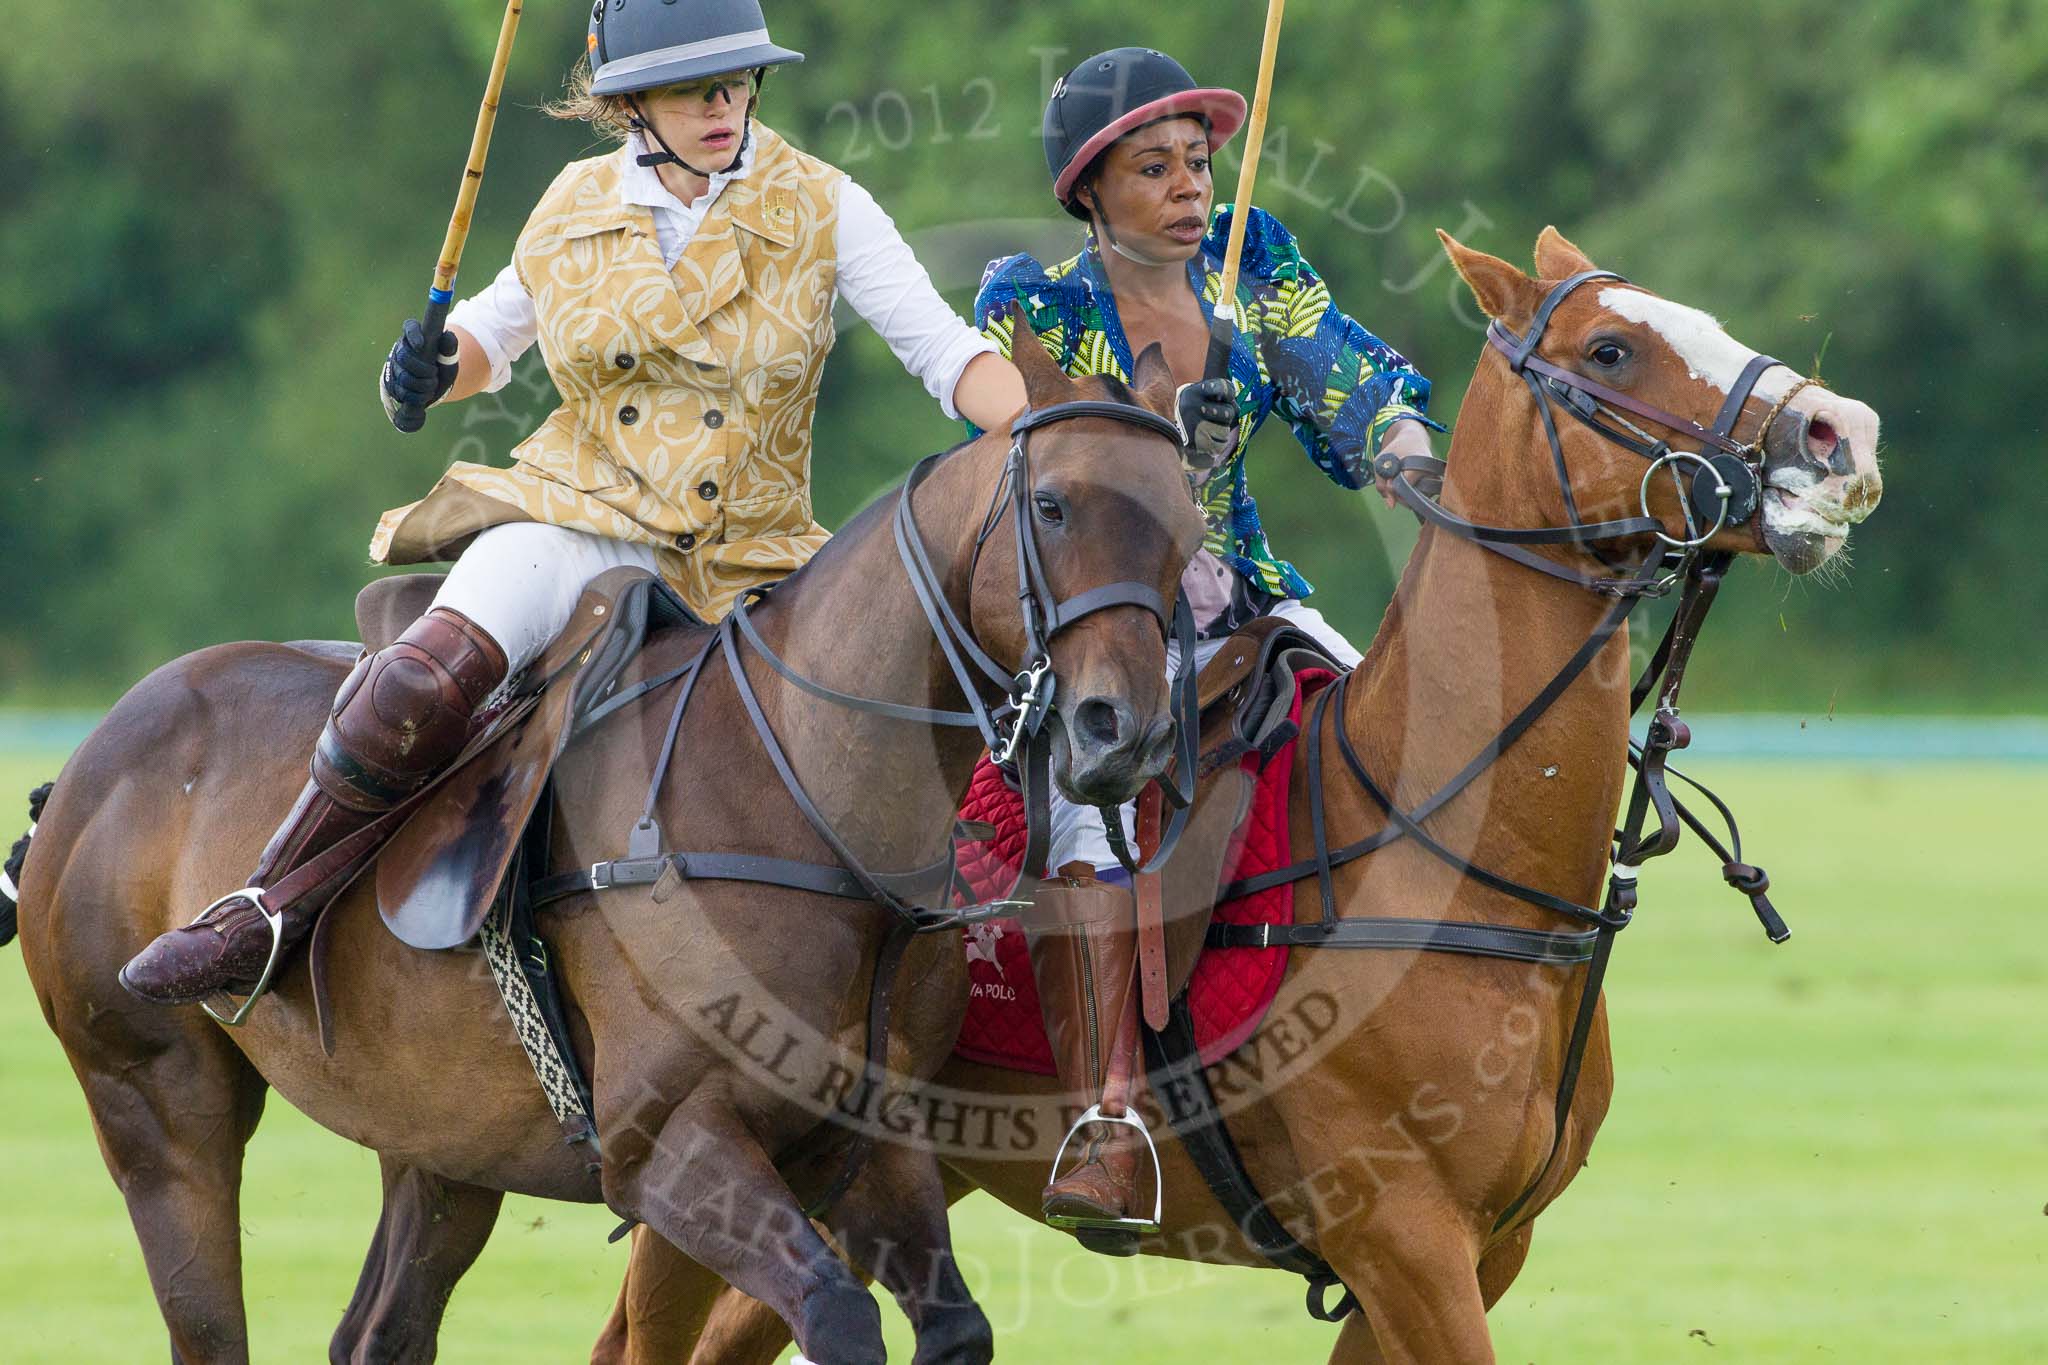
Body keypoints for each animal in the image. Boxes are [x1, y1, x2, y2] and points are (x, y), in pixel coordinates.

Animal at [7, 328, 1207, 1365]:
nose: (1125, 732)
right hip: (156, 1105)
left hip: (440, 1145)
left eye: (1191, 532)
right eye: (1050, 504)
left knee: (378, 1332)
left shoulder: (871, 1142)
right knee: (209, 1316)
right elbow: (834, 1315)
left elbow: (953, 1328)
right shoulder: (668, 1145)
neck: (804, 797)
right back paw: (222, 939)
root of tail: (85, 762)